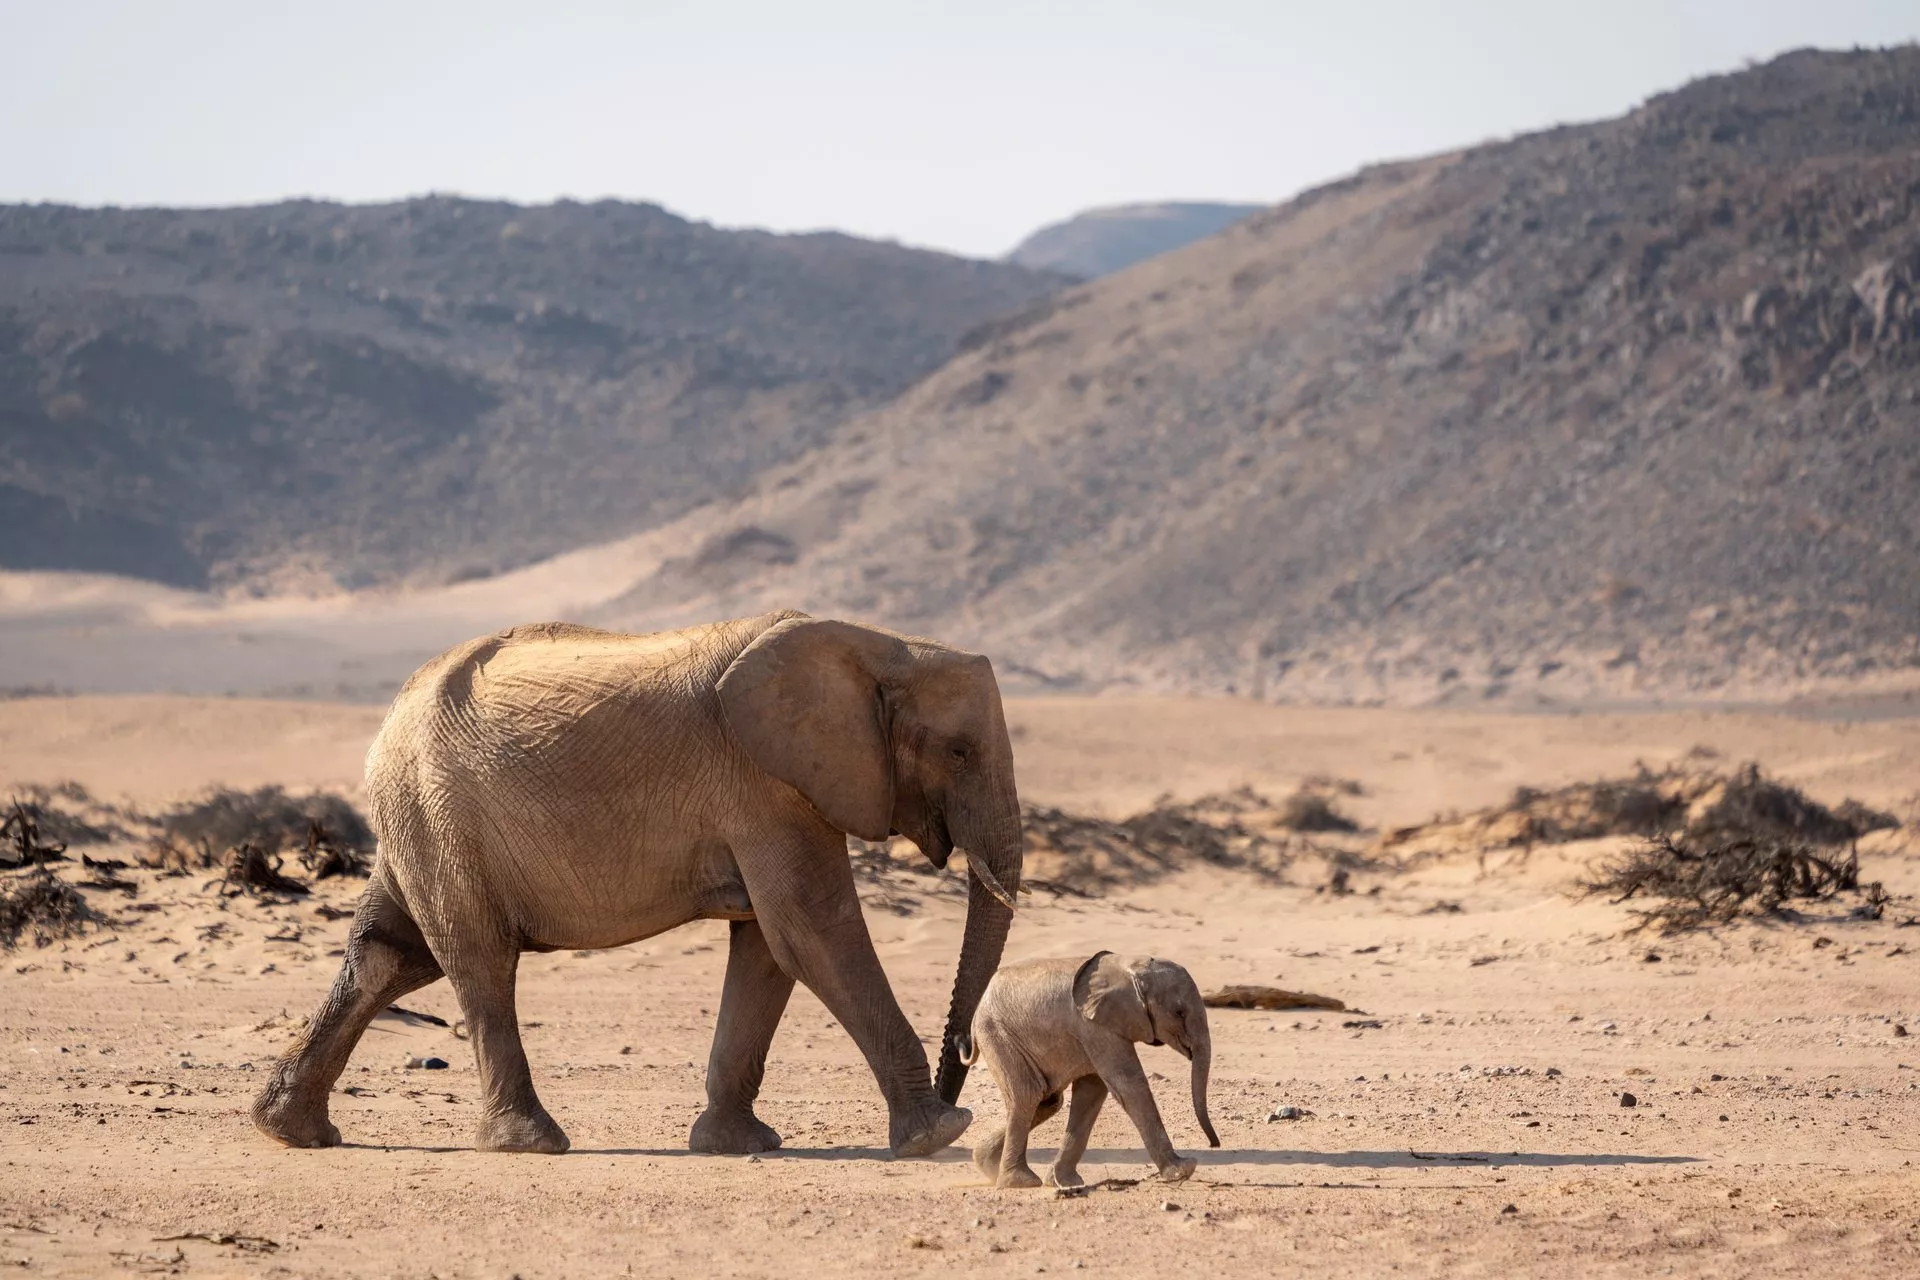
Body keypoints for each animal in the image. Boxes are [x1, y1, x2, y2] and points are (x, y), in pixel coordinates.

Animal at [250, 610, 1025, 1159]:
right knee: (478, 961)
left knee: (391, 953)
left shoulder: (772, 794)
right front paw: (940, 1133)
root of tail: (394, 711)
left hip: (420, 819)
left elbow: (768, 947)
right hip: (439, 812)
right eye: (959, 751)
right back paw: (531, 1144)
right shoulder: (764, 783)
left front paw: (737, 1146)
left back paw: (288, 1130)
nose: (962, 1062)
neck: (879, 644)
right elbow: (811, 932)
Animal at [963, 951, 1218, 1188]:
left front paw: (1065, 1182)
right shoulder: (1093, 1025)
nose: (1214, 1144)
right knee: (1028, 1096)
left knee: (1048, 1101)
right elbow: (1129, 1085)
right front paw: (1183, 1170)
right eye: (1179, 1013)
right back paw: (1020, 1182)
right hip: (997, 1035)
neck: (1127, 965)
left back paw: (987, 1164)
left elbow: (1092, 1092)